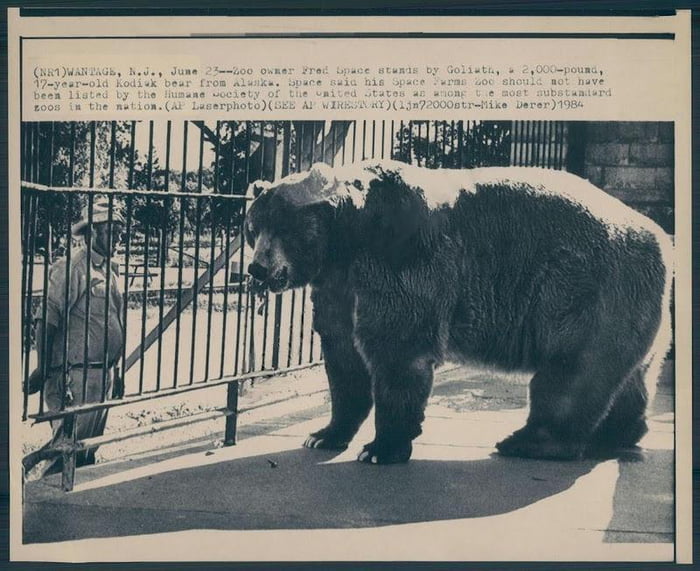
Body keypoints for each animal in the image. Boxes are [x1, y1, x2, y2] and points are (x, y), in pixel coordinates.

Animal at [246, 160, 672, 464]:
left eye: (282, 226)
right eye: (253, 226)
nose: (257, 269)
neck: (349, 239)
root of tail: (660, 237)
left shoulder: (401, 261)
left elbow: (397, 350)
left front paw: (381, 447)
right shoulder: (338, 284)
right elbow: (343, 358)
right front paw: (323, 435)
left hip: (586, 290)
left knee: (569, 375)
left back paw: (526, 441)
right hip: (632, 304)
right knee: (629, 375)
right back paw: (616, 434)